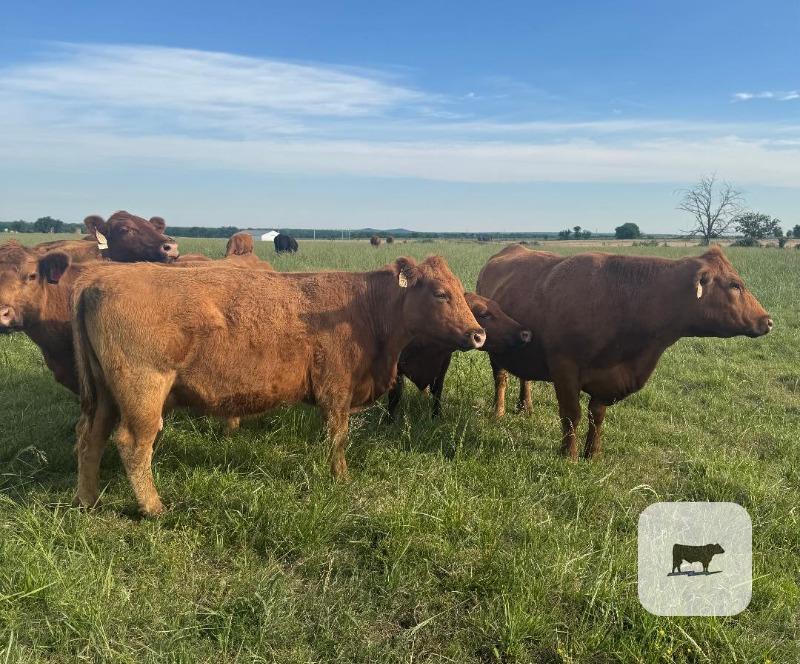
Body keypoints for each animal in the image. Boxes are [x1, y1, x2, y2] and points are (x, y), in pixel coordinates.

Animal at [71, 256, 484, 515]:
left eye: (460, 290)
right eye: (440, 293)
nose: (478, 334)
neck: (365, 308)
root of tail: (98, 279)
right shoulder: (336, 391)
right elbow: (338, 438)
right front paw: (341, 478)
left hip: (106, 397)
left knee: (91, 439)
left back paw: (88, 500)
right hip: (143, 393)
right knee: (133, 444)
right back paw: (153, 508)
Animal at [387, 292, 531, 418]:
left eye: (499, 309)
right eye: (484, 314)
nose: (525, 333)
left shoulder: (443, 364)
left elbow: (437, 391)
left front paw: (436, 416)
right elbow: (395, 394)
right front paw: (390, 420)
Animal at [476, 244, 772, 459]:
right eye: (735, 285)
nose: (768, 320)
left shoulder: (608, 379)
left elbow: (596, 416)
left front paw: (592, 454)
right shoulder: (565, 368)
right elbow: (572, 414)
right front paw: (569, 455)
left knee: (523, 377)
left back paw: (525, 406)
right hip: (496, 346)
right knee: (501, 378)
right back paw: (499, 411)